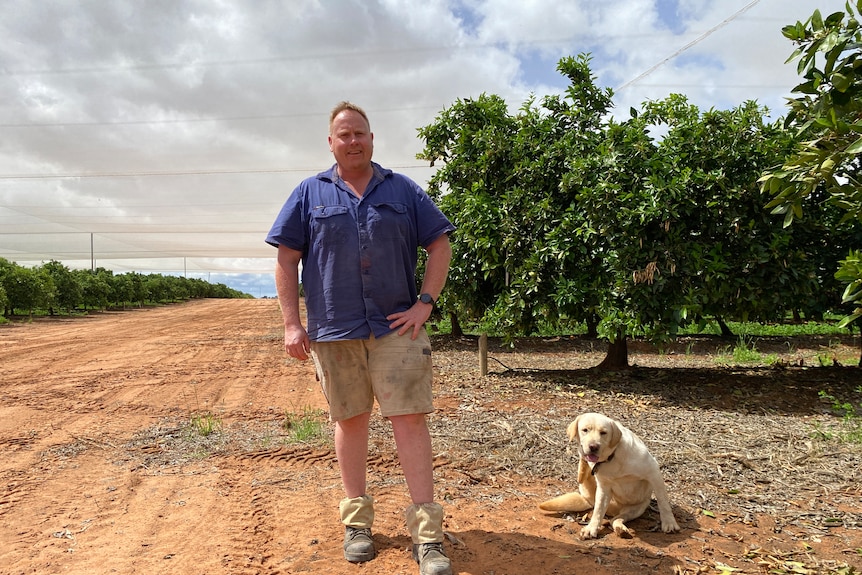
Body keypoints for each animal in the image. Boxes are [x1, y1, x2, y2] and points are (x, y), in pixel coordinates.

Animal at [540, 414, 680, 540]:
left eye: (603, 432)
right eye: (585, 430)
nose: (593, 446)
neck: (611, 458)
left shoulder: (653, 472)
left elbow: (663, 502)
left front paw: (669, 523)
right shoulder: (604, 488)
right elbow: (598, 511)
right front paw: (591, 529)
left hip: (636, 509)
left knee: (615, 520)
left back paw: (621, 529)